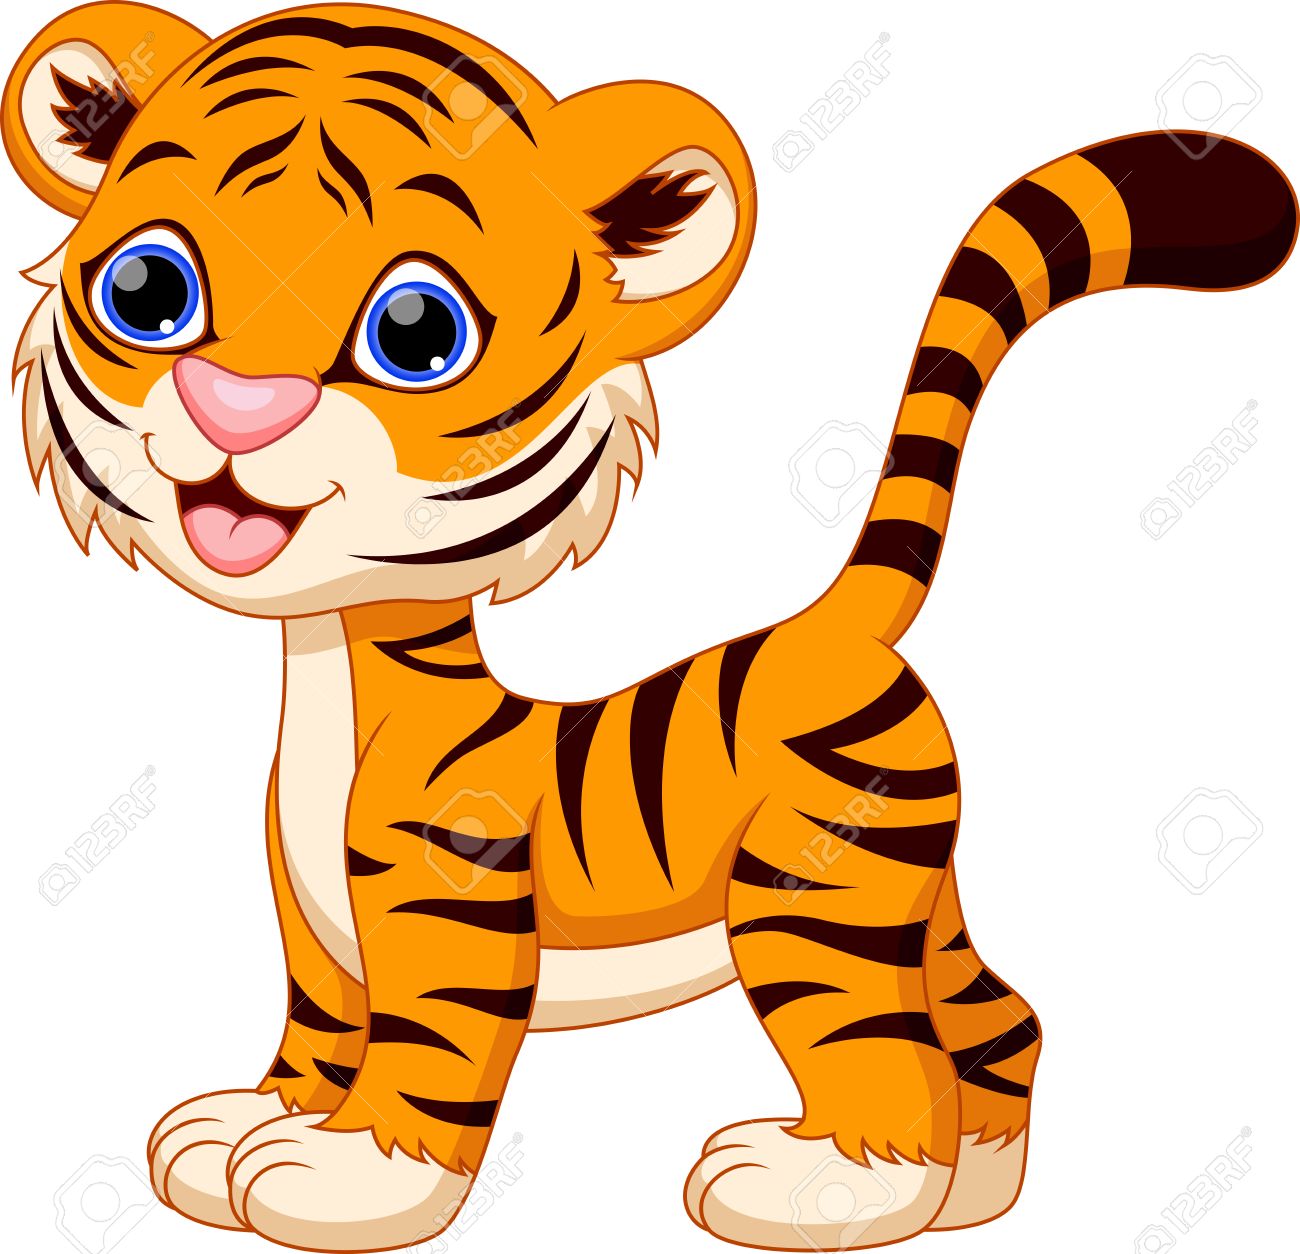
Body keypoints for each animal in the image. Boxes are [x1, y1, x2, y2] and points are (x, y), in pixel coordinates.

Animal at [3, 3, 1295, 1251]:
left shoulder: (448, 908)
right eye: (149, 292)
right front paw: (250, 1126)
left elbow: (425, 1062)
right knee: (1001, 1013)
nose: (239, 411)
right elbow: (319, 1032)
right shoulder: (314, 931)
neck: (332, 673)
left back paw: (831, 1189)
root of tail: (829, 625)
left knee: (882, 1050)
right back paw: (974, 1190)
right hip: (916, 892)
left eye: (417, 333)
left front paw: (343, 1181)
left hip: (814, 892)